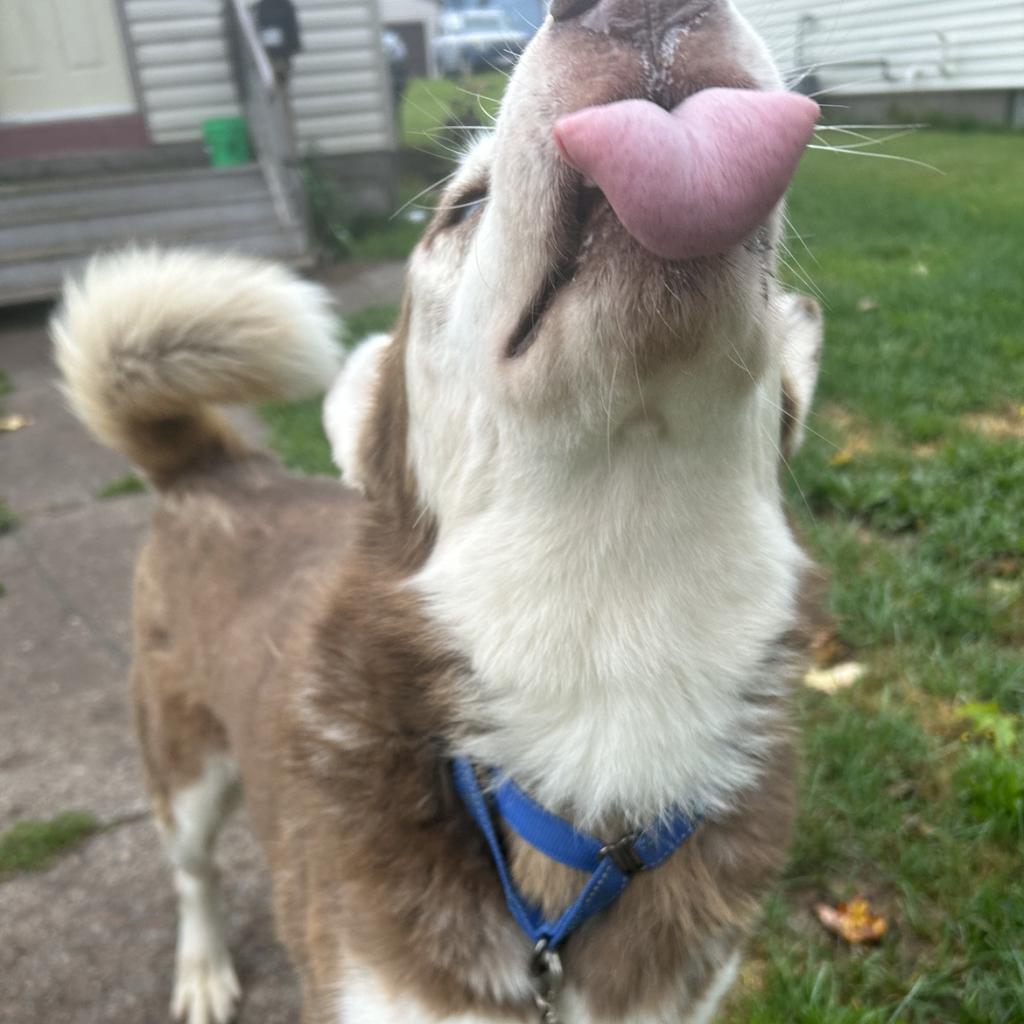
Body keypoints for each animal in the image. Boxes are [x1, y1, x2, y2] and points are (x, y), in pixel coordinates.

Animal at [54, 2, 823, 1024]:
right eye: (461, 206)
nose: (643, 8)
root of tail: (219, 465)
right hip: (181, 767)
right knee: (192, 873)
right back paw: (204, 967)